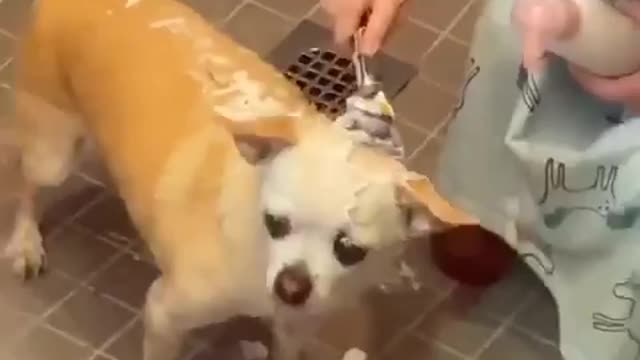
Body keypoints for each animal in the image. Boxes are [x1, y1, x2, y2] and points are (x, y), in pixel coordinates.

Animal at [3, 0, 476, 360]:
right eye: (275, 223)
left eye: (350, 249)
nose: (291, 287)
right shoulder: (163, 314)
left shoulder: (295, 327)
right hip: (53, 154)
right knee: (27, 187)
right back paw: (25, 242)